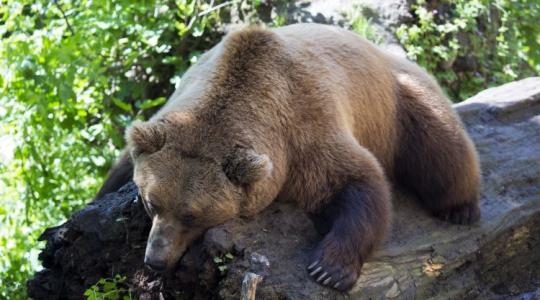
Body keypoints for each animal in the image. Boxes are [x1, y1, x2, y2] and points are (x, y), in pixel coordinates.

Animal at [96, 24, 480, 292]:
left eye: (192, 215)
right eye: (151, 203)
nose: (155, 260)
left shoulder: (304, 131)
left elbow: (358, 181)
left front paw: (329, 268)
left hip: (399, 102)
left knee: (442, 150)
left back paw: (460, 209)